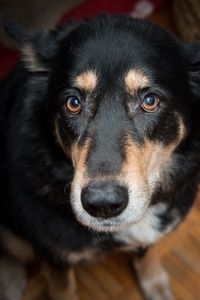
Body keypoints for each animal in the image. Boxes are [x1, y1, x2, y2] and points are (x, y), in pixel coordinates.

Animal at [0, 15, 200, 300]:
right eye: (73, 103)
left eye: (150, 101)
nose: (103, 204)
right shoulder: (54, 256)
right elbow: (63, 290)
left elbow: (148, 252)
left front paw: (154, 281)